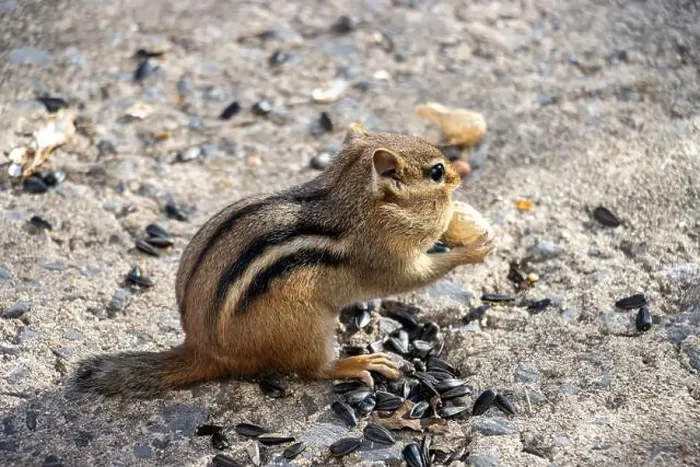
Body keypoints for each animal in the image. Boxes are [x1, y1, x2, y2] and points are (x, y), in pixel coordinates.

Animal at [74, 123, 493, 397]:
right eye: (436, 172)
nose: (458, 175)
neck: (352, 199)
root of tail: (201, 347)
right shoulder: (384, 257)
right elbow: (414, 277)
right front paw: (475, 247)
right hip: (308, 326)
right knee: (313, 370)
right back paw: (356, 364)